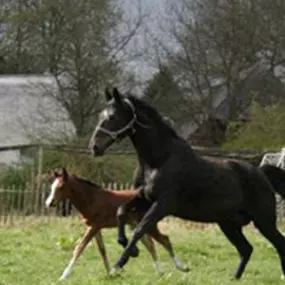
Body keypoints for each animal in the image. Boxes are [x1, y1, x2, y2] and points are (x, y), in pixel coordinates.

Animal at [45, 168, 189, 278]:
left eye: (60, 187)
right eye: (52, 186)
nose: (49, 203)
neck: (91, 198)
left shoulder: (95, 226)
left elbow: (79, 248)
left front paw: (64, 275)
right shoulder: (95, 227)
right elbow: (102, 250)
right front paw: (111, 273)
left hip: (150, 225)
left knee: (164, 240)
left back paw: (181, 267)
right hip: (136, 225)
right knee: (151, 245)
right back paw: (161, 272)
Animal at [89, 87, 285, 278]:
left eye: (112, 117)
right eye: (100, 116)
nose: (94, 147)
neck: (158, 160)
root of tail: (261, 173)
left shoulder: (163, 204)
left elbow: (139, 228)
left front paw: (117, 266)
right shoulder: (144, 199)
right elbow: (121, 211)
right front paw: (128, 246)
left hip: (263, 221)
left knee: (277, 243)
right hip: (227, 223)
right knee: (246, 249)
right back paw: (234, 278)